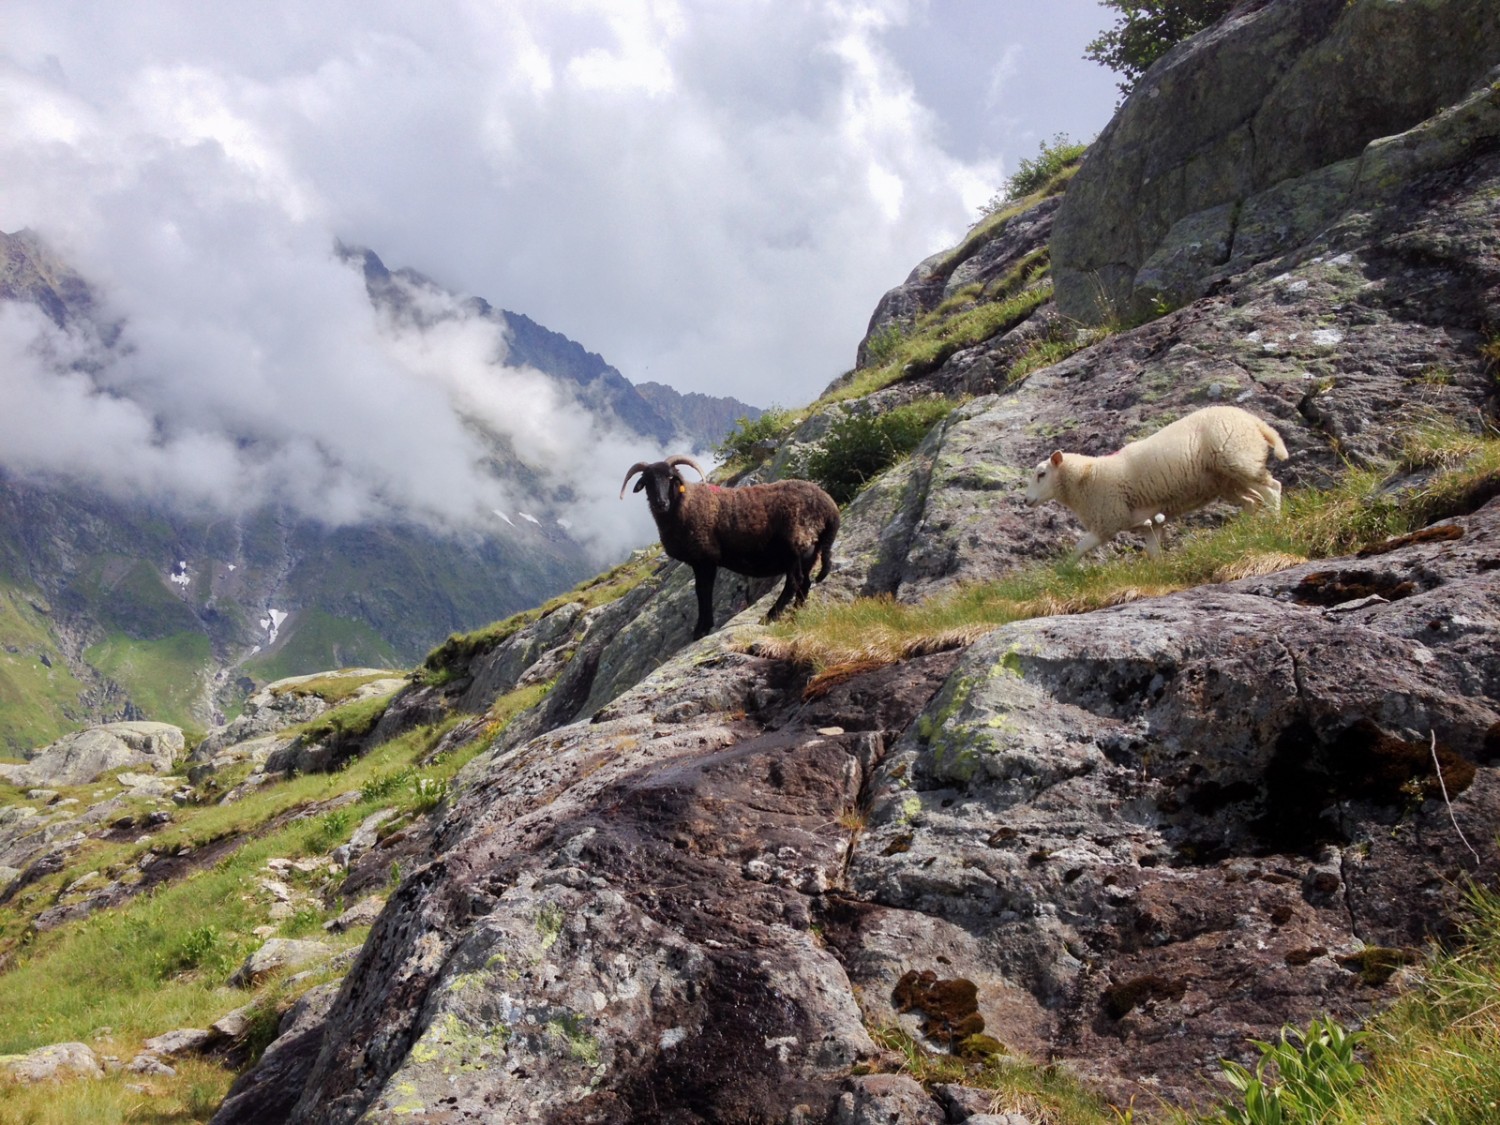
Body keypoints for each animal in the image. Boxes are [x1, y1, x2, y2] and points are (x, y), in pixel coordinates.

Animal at [1020, 408, 1290, 561]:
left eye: (1041, 474)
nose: (1026, 500)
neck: (1086, 477)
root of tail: (1254, 421)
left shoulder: (1108, 520)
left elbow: (1079, 547)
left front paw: (1064, 571)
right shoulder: (1145, 522)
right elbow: (1154, 552)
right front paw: (1160, 570)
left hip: (1239, 459)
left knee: (1273, 490)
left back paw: (1275, 524)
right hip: (1229, 479)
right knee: (1252, 501)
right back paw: (1250, 530)